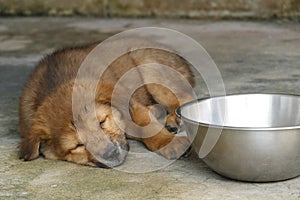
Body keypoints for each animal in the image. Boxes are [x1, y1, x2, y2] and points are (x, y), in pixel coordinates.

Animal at [19, 39, 196, 167]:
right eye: (77, 146)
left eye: (102, 122)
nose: (111, 154)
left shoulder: (129, 104)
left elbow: (145, 126)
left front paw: (170, 143)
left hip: (150, 69)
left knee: (185, 97)